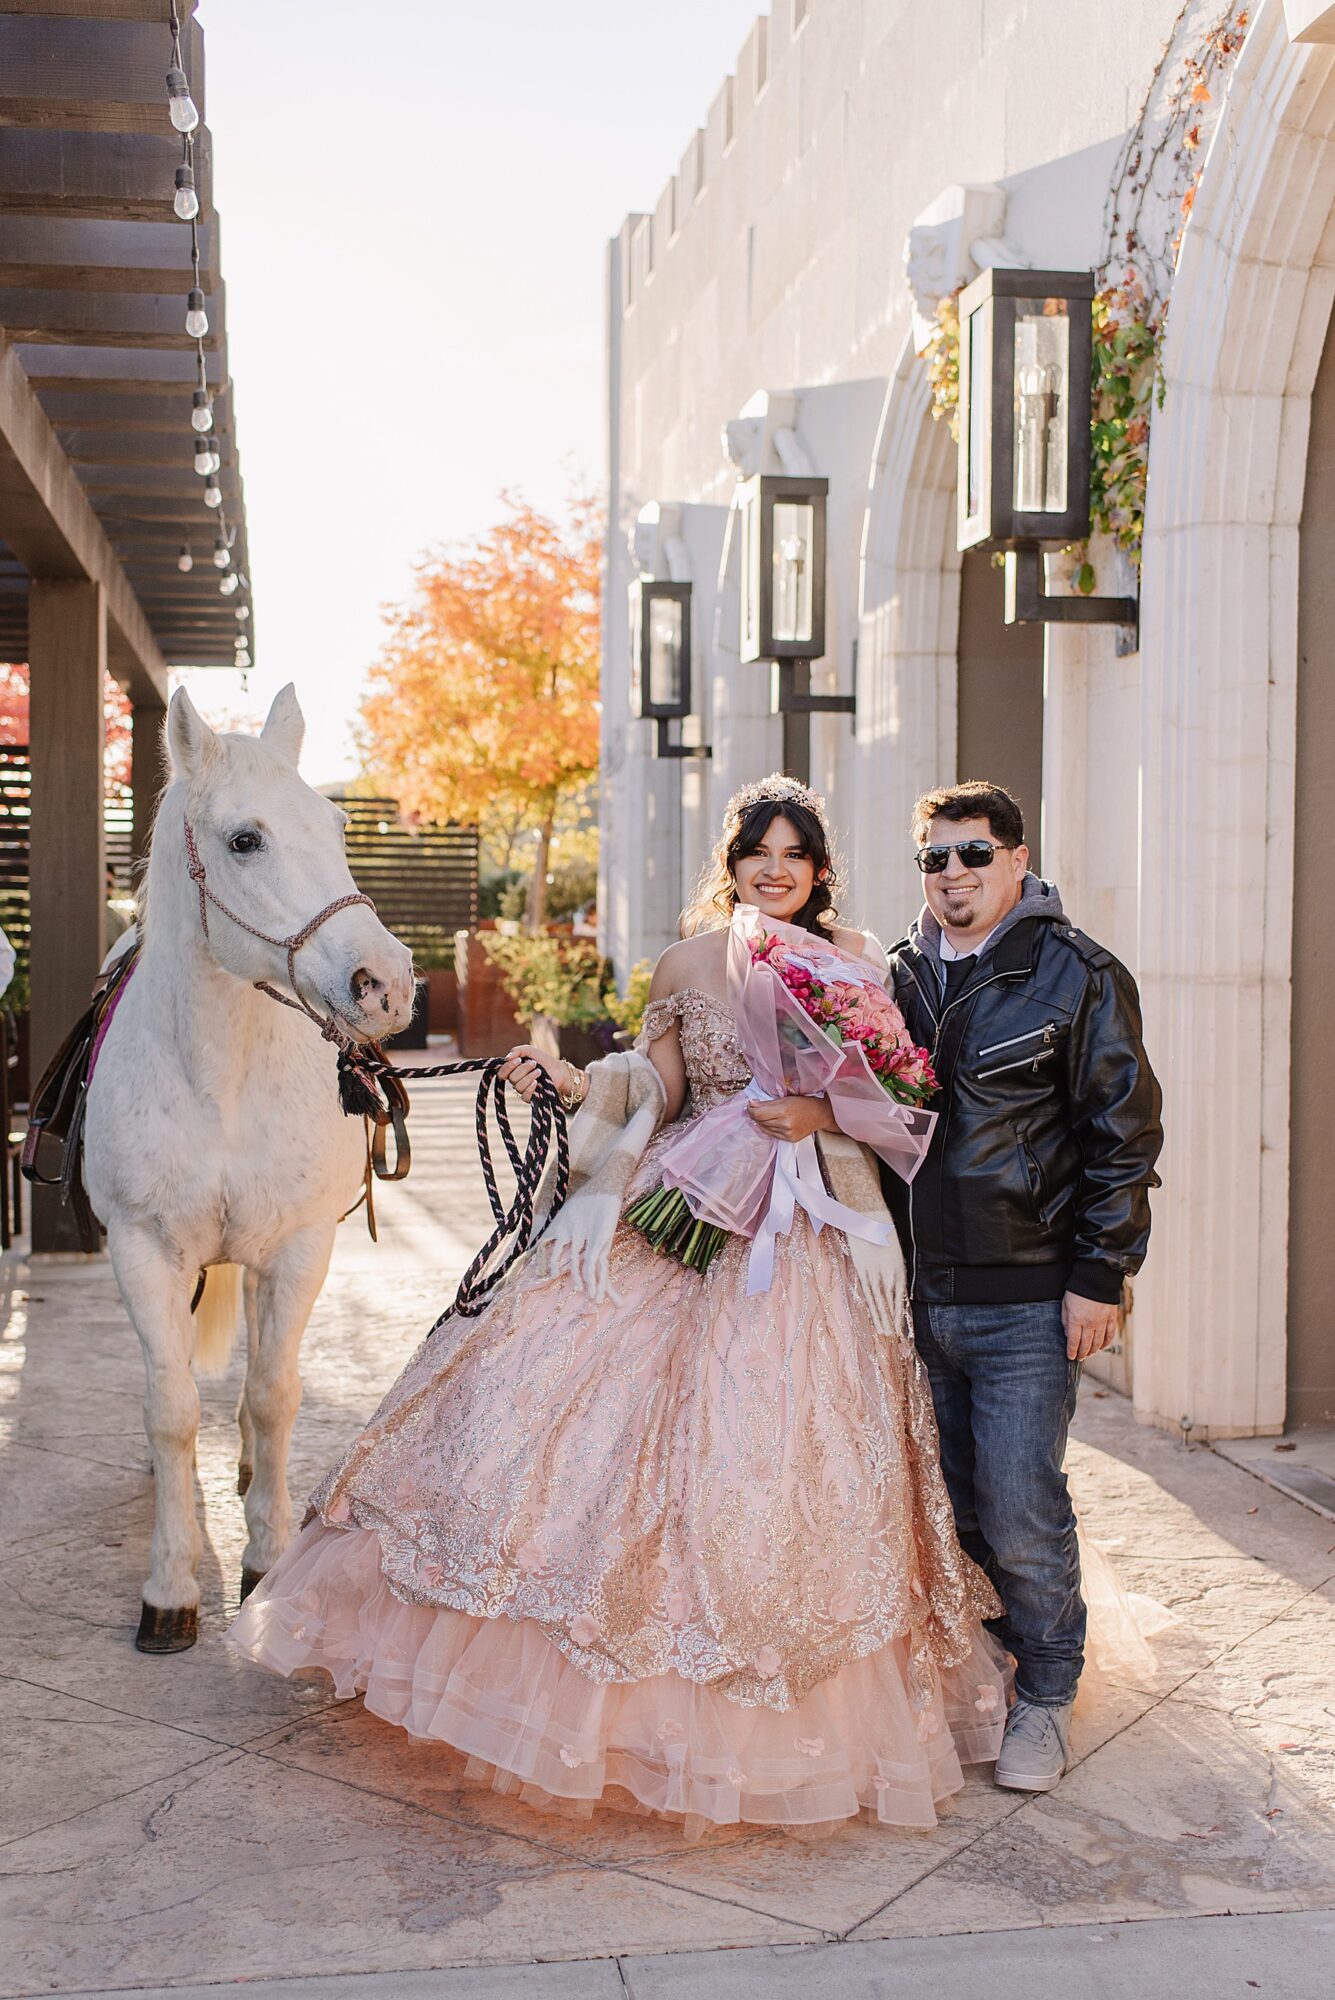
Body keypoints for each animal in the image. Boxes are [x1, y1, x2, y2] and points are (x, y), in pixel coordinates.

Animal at [84, 688, 417, 1656]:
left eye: (337, 827)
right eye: (244, 840)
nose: (385, 982)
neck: (221, 1073)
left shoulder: (299, 1247)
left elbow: (273, 1396)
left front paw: (264, 1559)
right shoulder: (143, 1250)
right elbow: (169, 1407)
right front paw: (169, 1583)